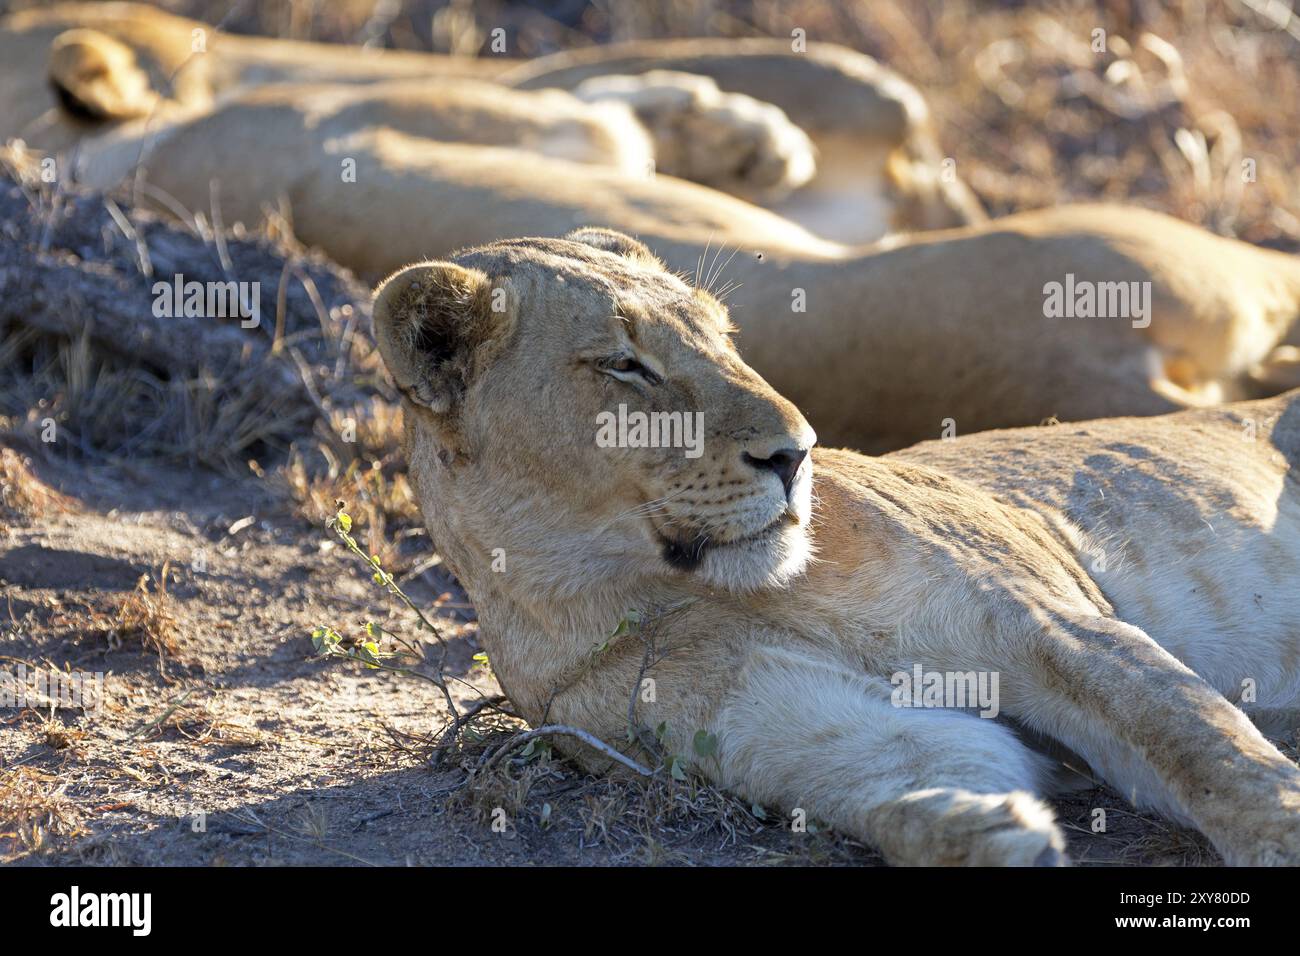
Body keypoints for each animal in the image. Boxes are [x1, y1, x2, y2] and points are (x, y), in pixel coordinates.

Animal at [371, 229, 1300, 866]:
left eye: (725, 338)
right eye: (624, 365)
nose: (797, 451)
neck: (654, 592)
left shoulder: (1047, 623)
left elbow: (1201, 742)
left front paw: (1279, 832)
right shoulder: (794, 728)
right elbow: (906, 784)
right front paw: (984, 832)